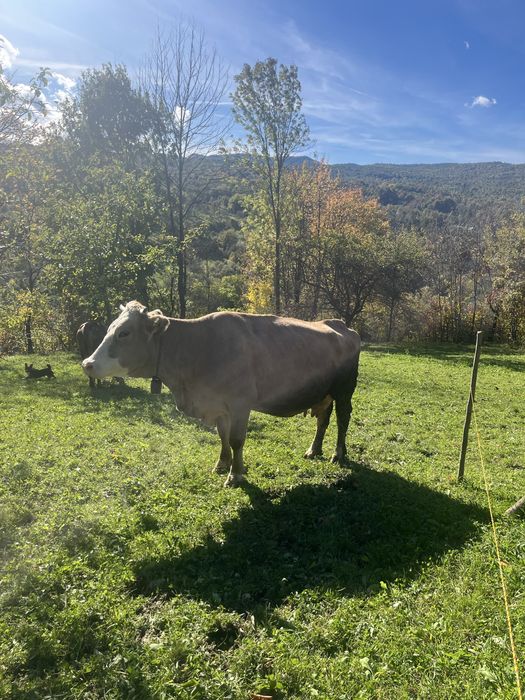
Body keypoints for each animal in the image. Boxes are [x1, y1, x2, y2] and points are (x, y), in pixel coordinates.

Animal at [82, 301, 360, 487]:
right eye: (110, 328)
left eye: (124, 333)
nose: (87, 363)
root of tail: (340, 325)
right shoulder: (217, 404)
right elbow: (222, 436)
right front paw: (222, 464)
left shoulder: (240, 404)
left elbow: (236, 439)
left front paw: (235, 475)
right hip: (324, 392)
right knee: (323, 420)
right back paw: (314, 450)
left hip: (344, 390)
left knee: (342, 419)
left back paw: (338, 453)